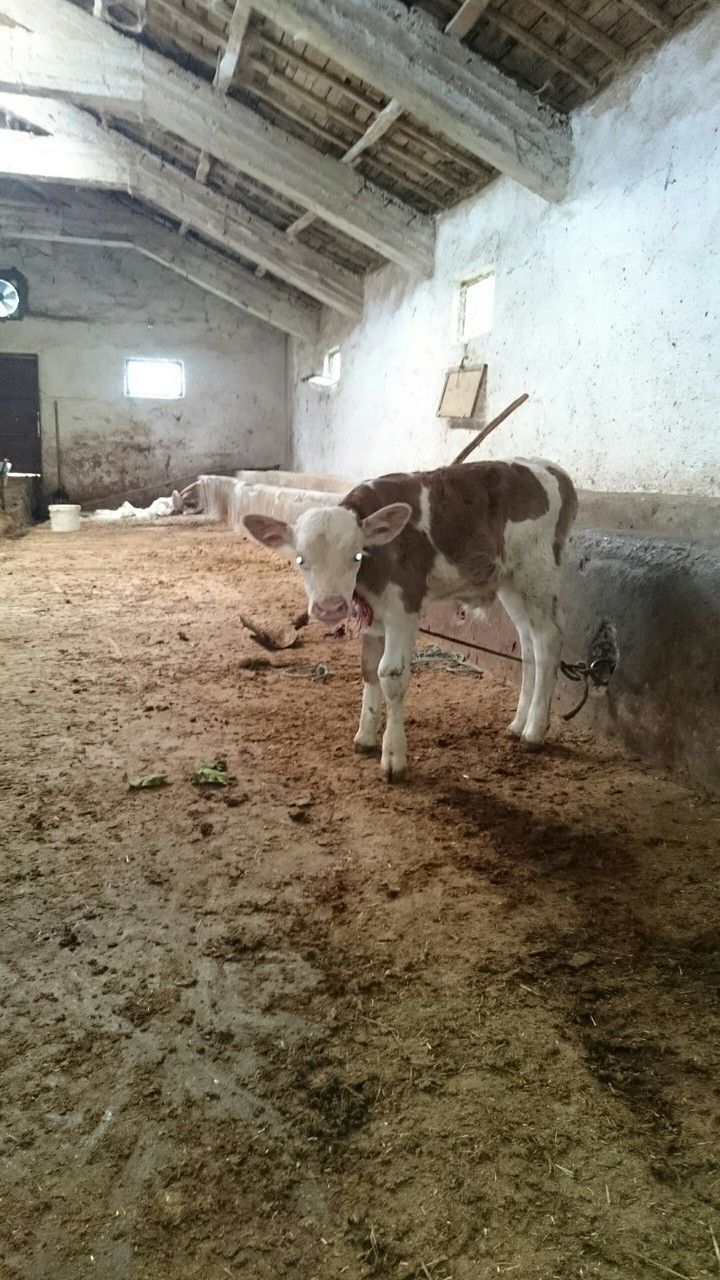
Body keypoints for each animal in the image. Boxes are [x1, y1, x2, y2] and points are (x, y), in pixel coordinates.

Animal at [243, 459, 578, 783]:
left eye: (356, 556)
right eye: (300, 559)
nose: (330, 607)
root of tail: (553, 470)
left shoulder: (403, 609)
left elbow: (390, 675)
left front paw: (393, 757)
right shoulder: (374, 615)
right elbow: (369, 669)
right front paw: (365, 736)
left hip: (536, 575)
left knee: (548, 641)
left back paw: (534, 731)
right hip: (510, 582)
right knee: (528, 643)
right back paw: (518, 723)